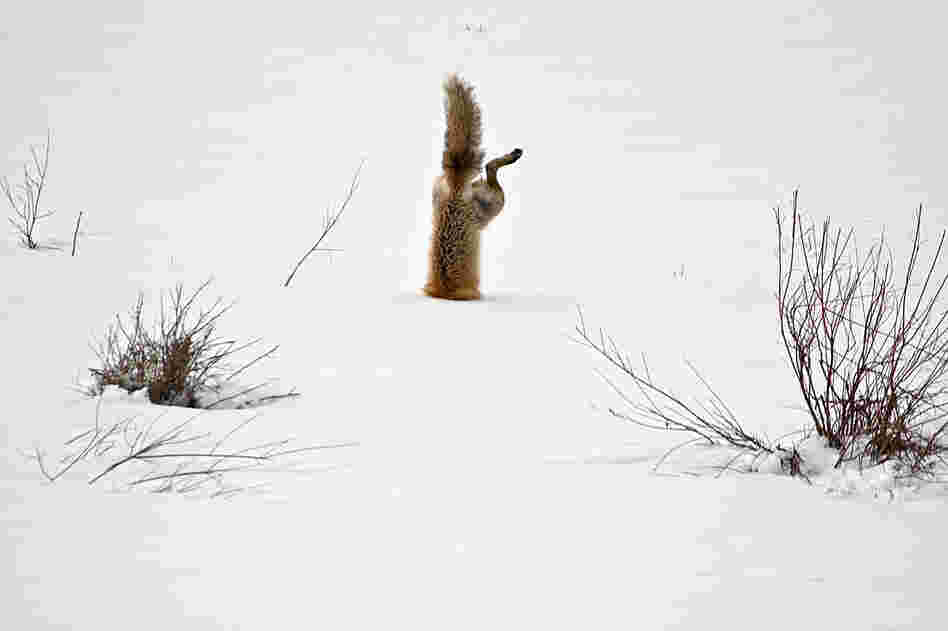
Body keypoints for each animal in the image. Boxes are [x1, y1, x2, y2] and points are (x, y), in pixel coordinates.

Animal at [423, 73, 522, 301]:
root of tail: (456, 184)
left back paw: (512, 156)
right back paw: (513, 156)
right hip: (495, 206)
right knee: (490, 166)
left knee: (490, 167)